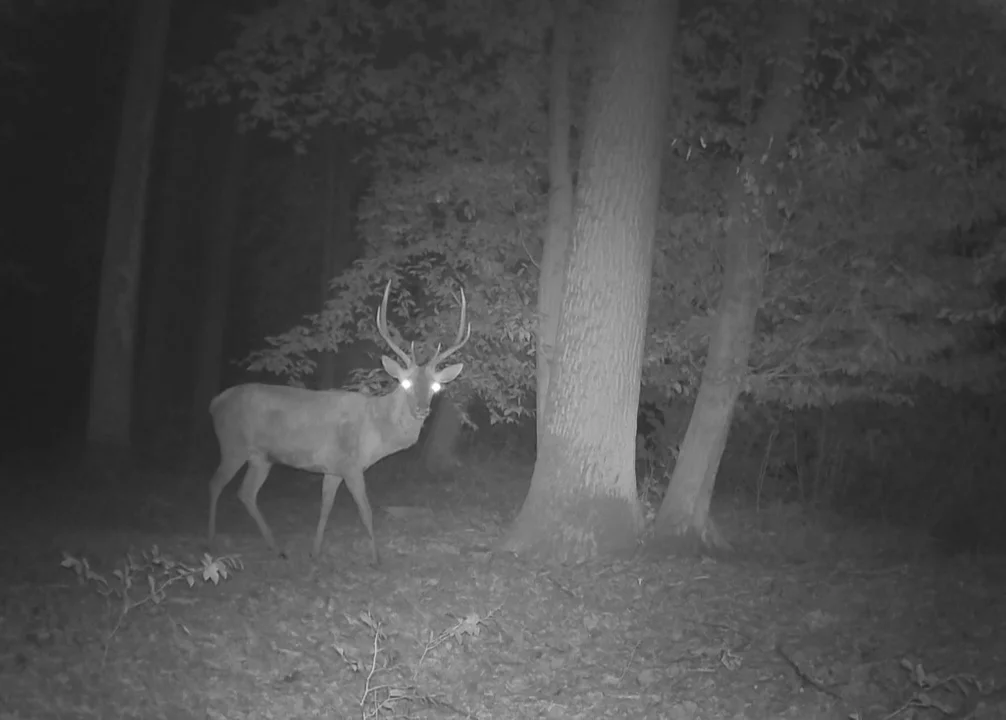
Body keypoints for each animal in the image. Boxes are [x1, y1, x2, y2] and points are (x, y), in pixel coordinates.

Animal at [207, 277, 470, 567]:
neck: (375, 431)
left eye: (435, 386)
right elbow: (366, 511)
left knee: (246, 493)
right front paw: (376, 558)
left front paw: (315, 552)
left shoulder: (332, 468)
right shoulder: (351, 464)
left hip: (261, 457)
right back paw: (211, 539)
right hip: (232, 444)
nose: (422, 410)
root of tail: (215, 402)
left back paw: (276, 547)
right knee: (215, 484)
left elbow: (325, 507)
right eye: (406, 383)